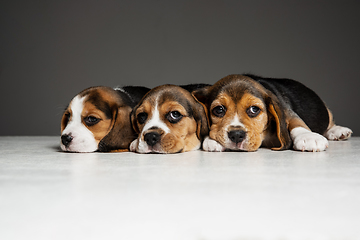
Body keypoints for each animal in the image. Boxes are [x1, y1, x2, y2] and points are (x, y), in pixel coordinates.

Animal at [194, 74, 352, 151]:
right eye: (219, 110)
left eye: (254, 109)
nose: (236, 135)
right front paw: (212, 140)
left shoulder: (285, 109)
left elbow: (296, 122)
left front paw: (308, 137)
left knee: (330, 122)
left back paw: (338, 131)